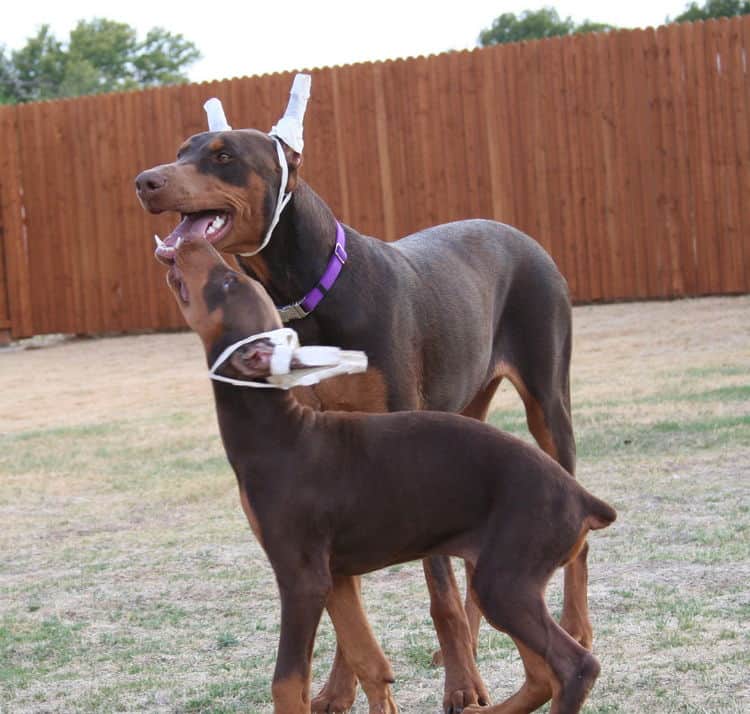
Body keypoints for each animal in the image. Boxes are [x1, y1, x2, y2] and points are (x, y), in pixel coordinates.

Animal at [135, 125, 580, 708]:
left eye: (223, 155)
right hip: (467, 419)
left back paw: (567, 627)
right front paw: (339, 689)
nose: (145, 181)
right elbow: (349, 606)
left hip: (549, 406)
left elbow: (436, 590)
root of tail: (517, 233)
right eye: (182, 150)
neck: (311, 296)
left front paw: (461, 685)